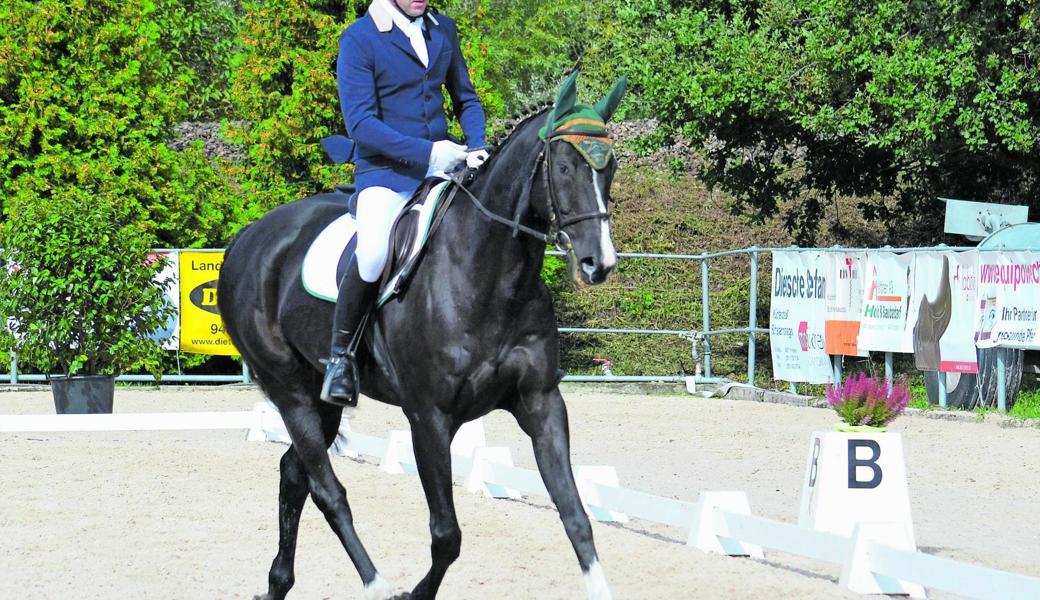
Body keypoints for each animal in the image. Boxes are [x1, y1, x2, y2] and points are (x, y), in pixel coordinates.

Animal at [219, 74, 624, 598]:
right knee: (327, 489)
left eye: (610, 167)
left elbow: (577, 518)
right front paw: (414, 592)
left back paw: (277, 583)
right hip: (289, 391)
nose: (600, 263)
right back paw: (376, 584)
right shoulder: (428, 418)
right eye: (564, 166)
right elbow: (446, 535)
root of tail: (248, 237)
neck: (490, 276)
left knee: (294, 474)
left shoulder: (542, 403)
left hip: (320, 398)